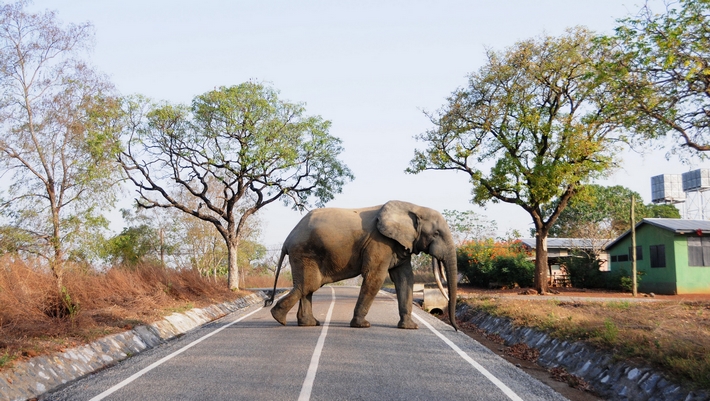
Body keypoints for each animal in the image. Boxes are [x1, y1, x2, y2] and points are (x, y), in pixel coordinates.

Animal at [264, 200, 459, 331]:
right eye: (436, 233)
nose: (456, 328)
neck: (413, 206)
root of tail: (287, 239)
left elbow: (405, 279)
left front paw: (410, 327)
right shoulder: (380, 242)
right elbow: (375, 277)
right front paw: (362, 325)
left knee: (308, 287)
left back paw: (308, 323)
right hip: (304, 252)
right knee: (308, 285)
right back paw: (279, 318)